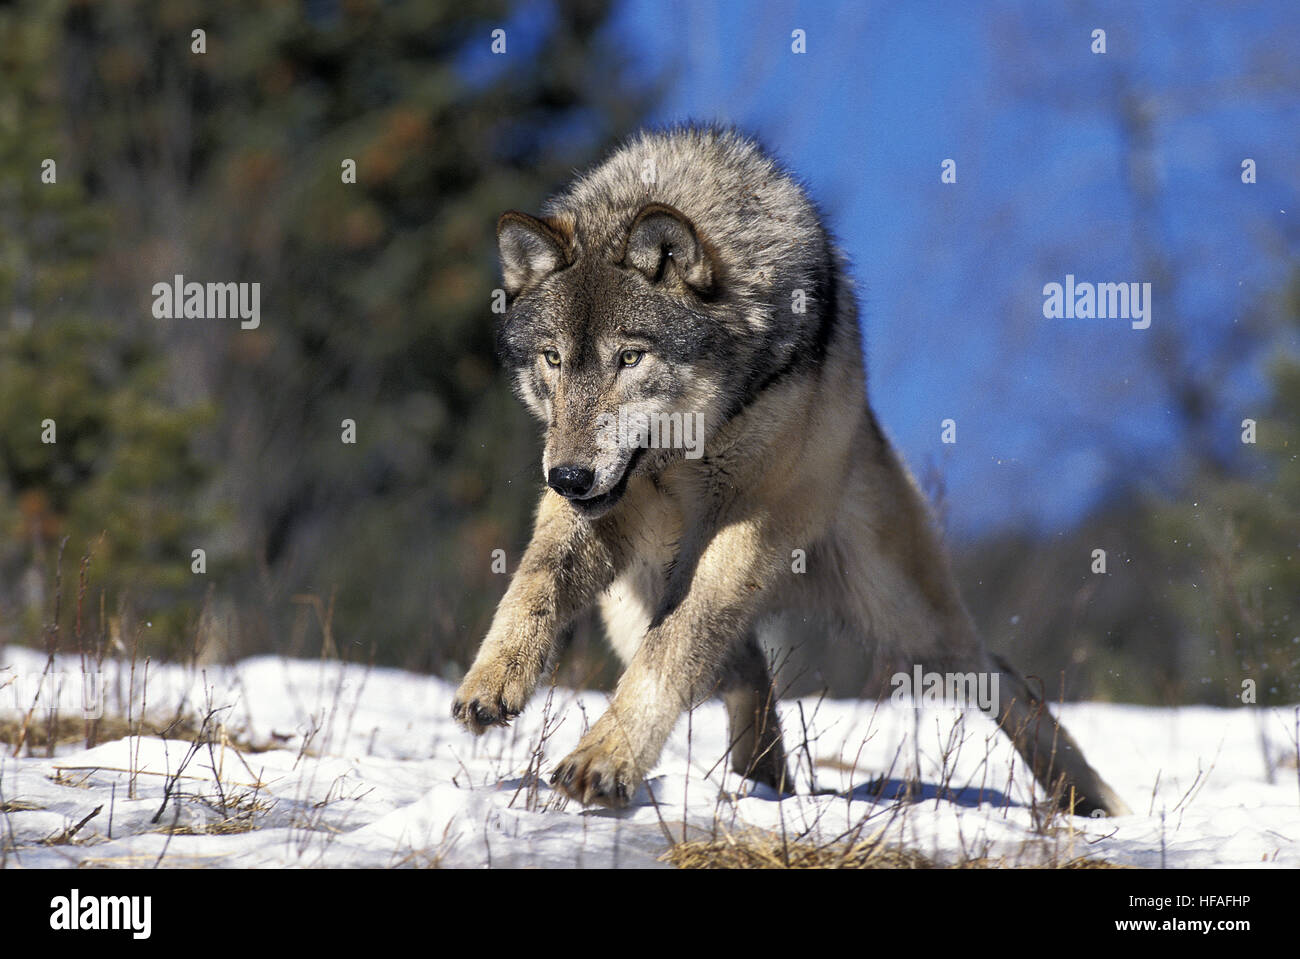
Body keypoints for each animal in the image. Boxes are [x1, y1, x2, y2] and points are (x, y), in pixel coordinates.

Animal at [452, 125, 1133, 816]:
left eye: (630, 358)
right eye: (553, 359)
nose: (568, 478)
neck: (686, 451)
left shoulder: (744, 522)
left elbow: (671, 651)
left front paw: (603, 760)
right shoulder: (598, 507)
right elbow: (533, 586)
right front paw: (492, 680)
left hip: (906, 618)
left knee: (996, 672)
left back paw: (1091, 798)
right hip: (634, 603)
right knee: (746, 670)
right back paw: (762, 786)